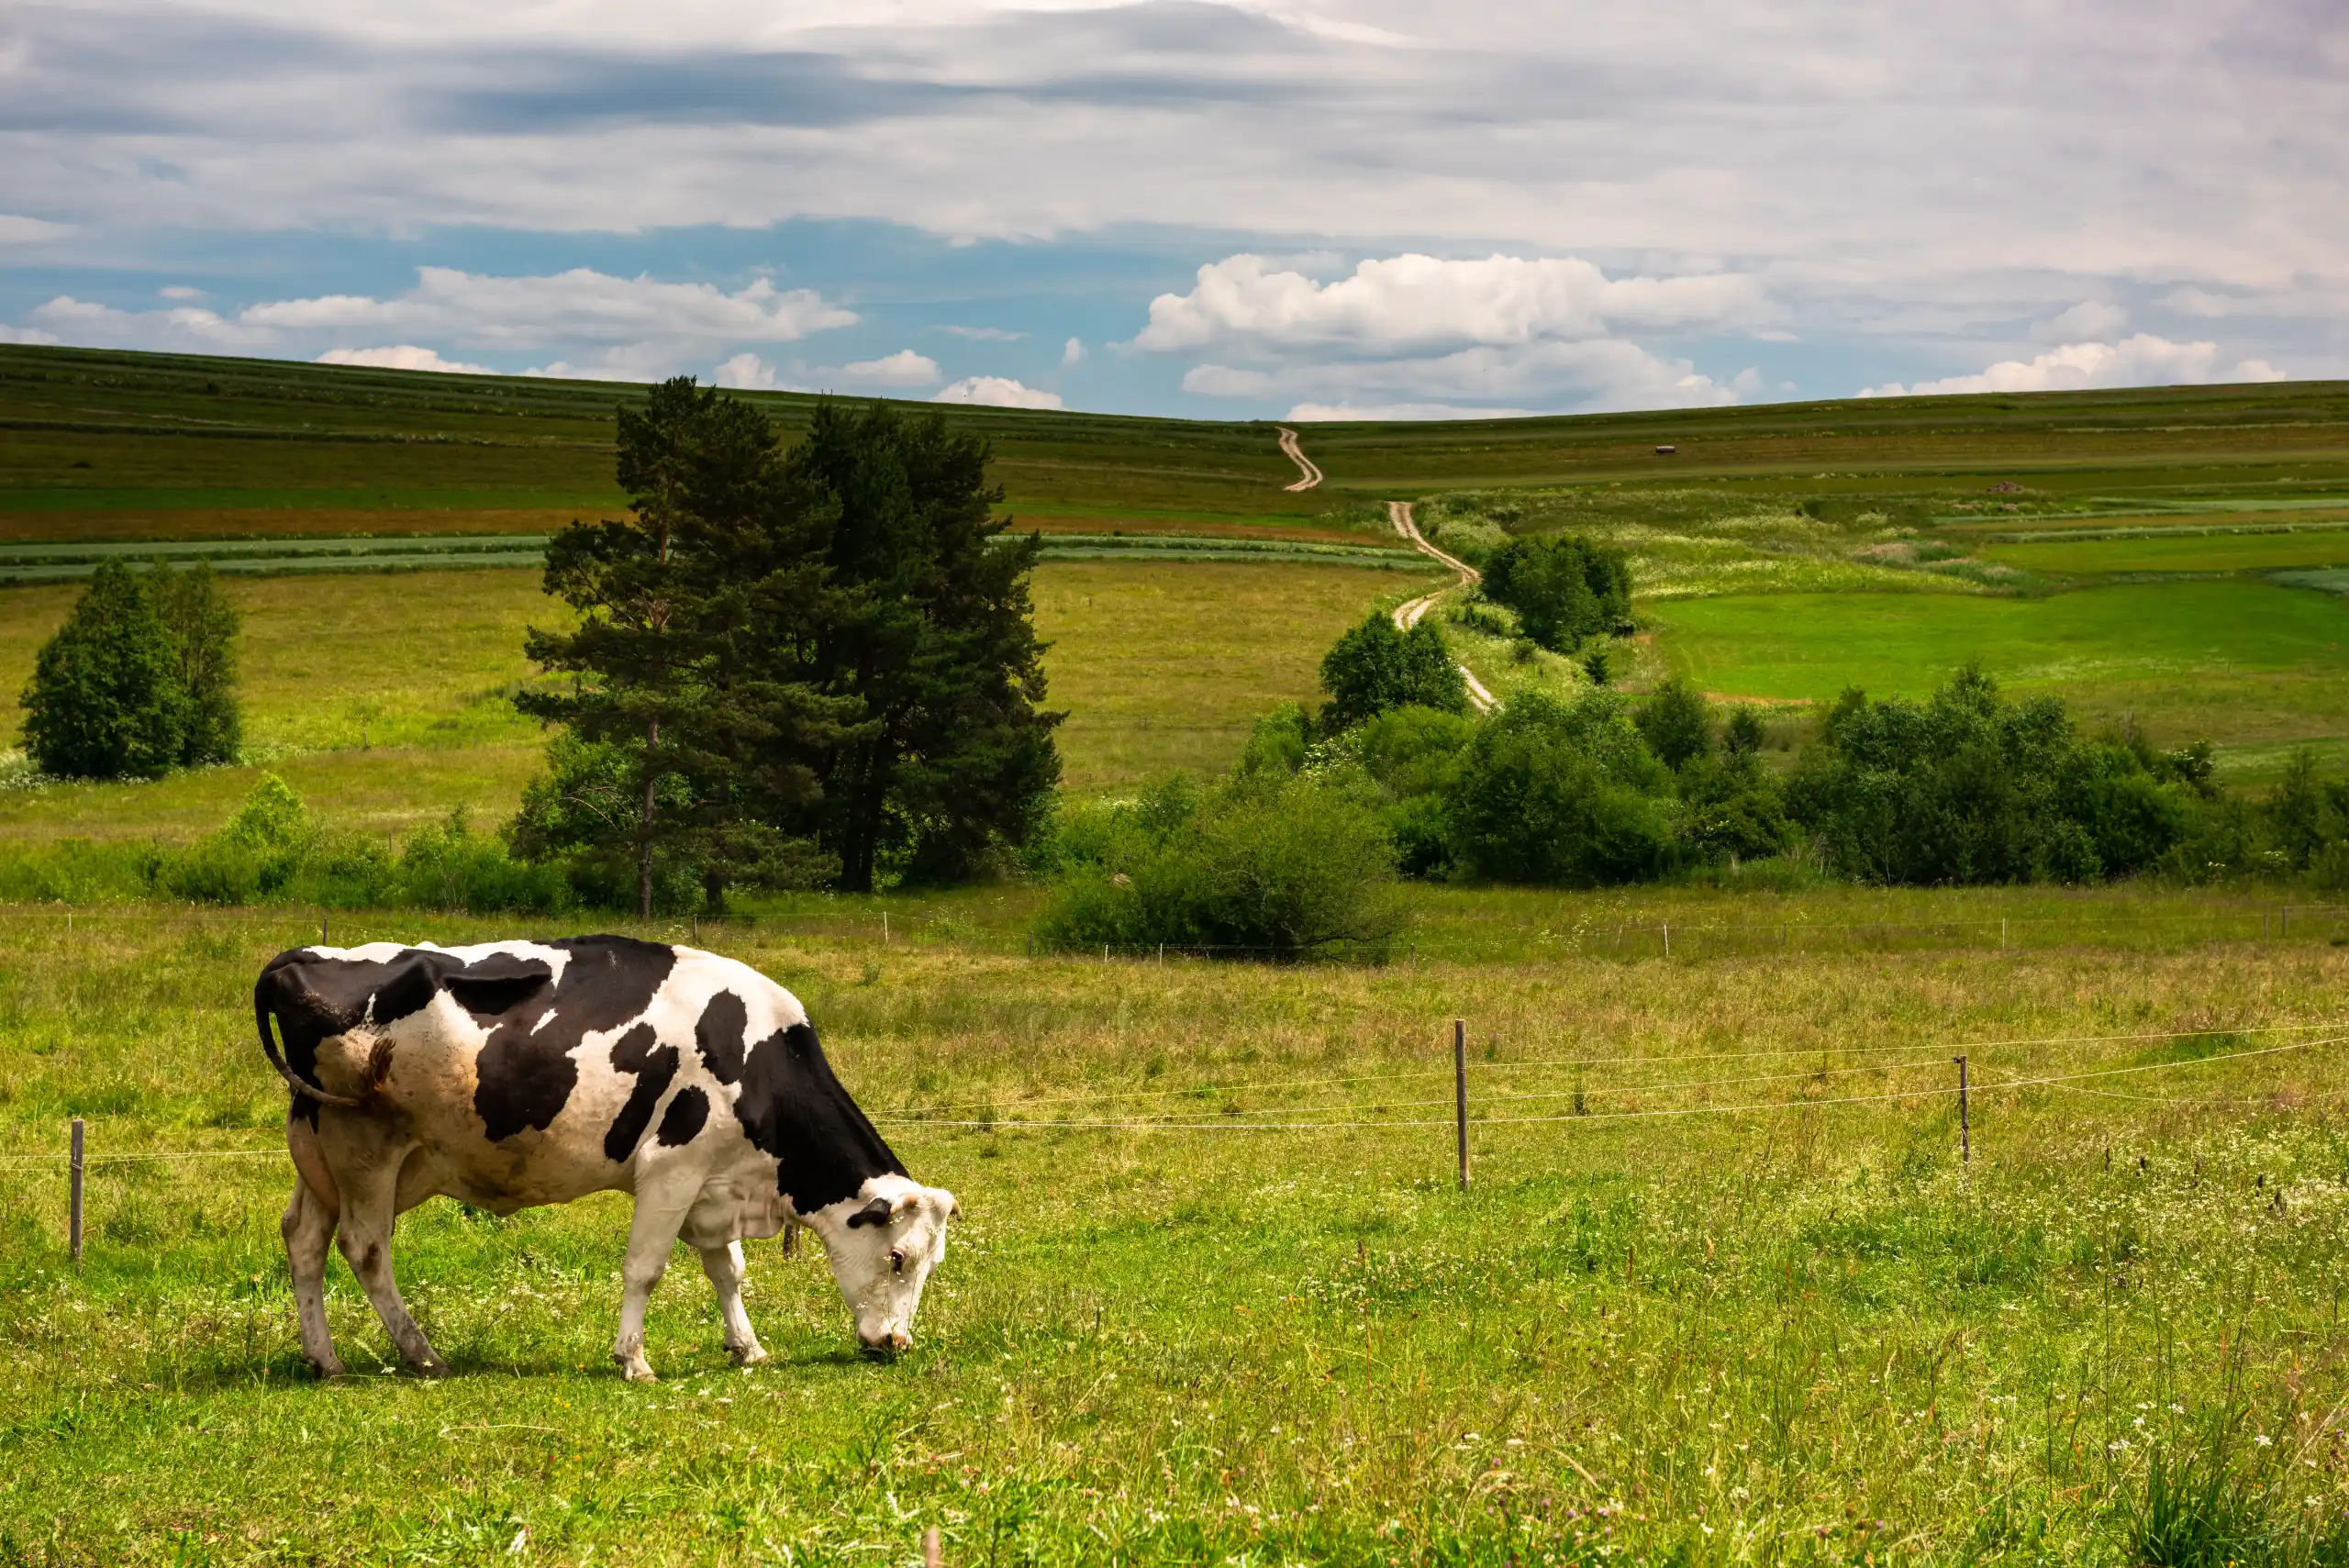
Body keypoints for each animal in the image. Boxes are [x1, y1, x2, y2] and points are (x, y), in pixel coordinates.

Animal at [257, 939, 953, 1380]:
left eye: (932, 1263)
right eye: (898, 1256)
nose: (896, 1342)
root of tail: (299, 959)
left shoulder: (713, 1182)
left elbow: (727, 1270)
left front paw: (747, 1347)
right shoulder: (672, 1169)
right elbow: (645, 1268)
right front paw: (634, 1359)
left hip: (322, 1153)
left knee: (304, 1239)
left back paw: (325, 1359)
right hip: (365, 1150)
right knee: (366, 1247)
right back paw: (421, 1353)